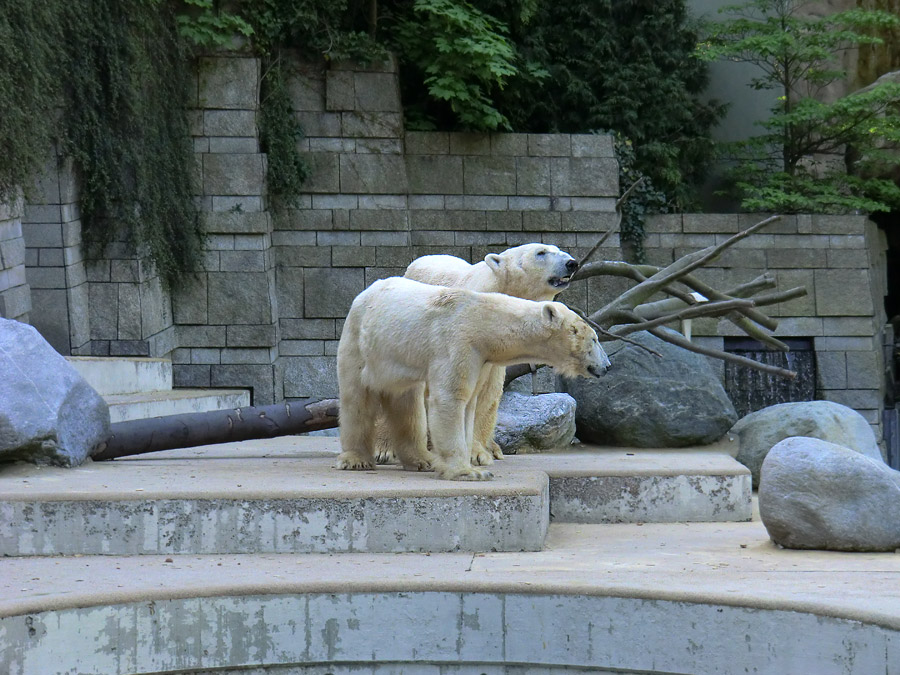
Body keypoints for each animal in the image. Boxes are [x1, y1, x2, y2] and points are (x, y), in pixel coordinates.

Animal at [338, 278, 612, 484]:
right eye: (595, 339)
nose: (607, 366)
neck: (482, 321)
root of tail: (363, 294)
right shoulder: (457, 343)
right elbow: (451, 397)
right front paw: (468, 472)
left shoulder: (481, 359)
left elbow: (470, 403)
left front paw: (469, 462)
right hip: (361, 345)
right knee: (357, 400)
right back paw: (357, 459)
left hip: (399, 359)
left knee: (407, 406)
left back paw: (421, 460)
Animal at [376, 244, 580, 470]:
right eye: (541, 252)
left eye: (558, 249)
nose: (572, 263)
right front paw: (385, 450)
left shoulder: (496, 350)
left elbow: (485, 394)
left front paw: (477, 454)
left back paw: (493, 448)